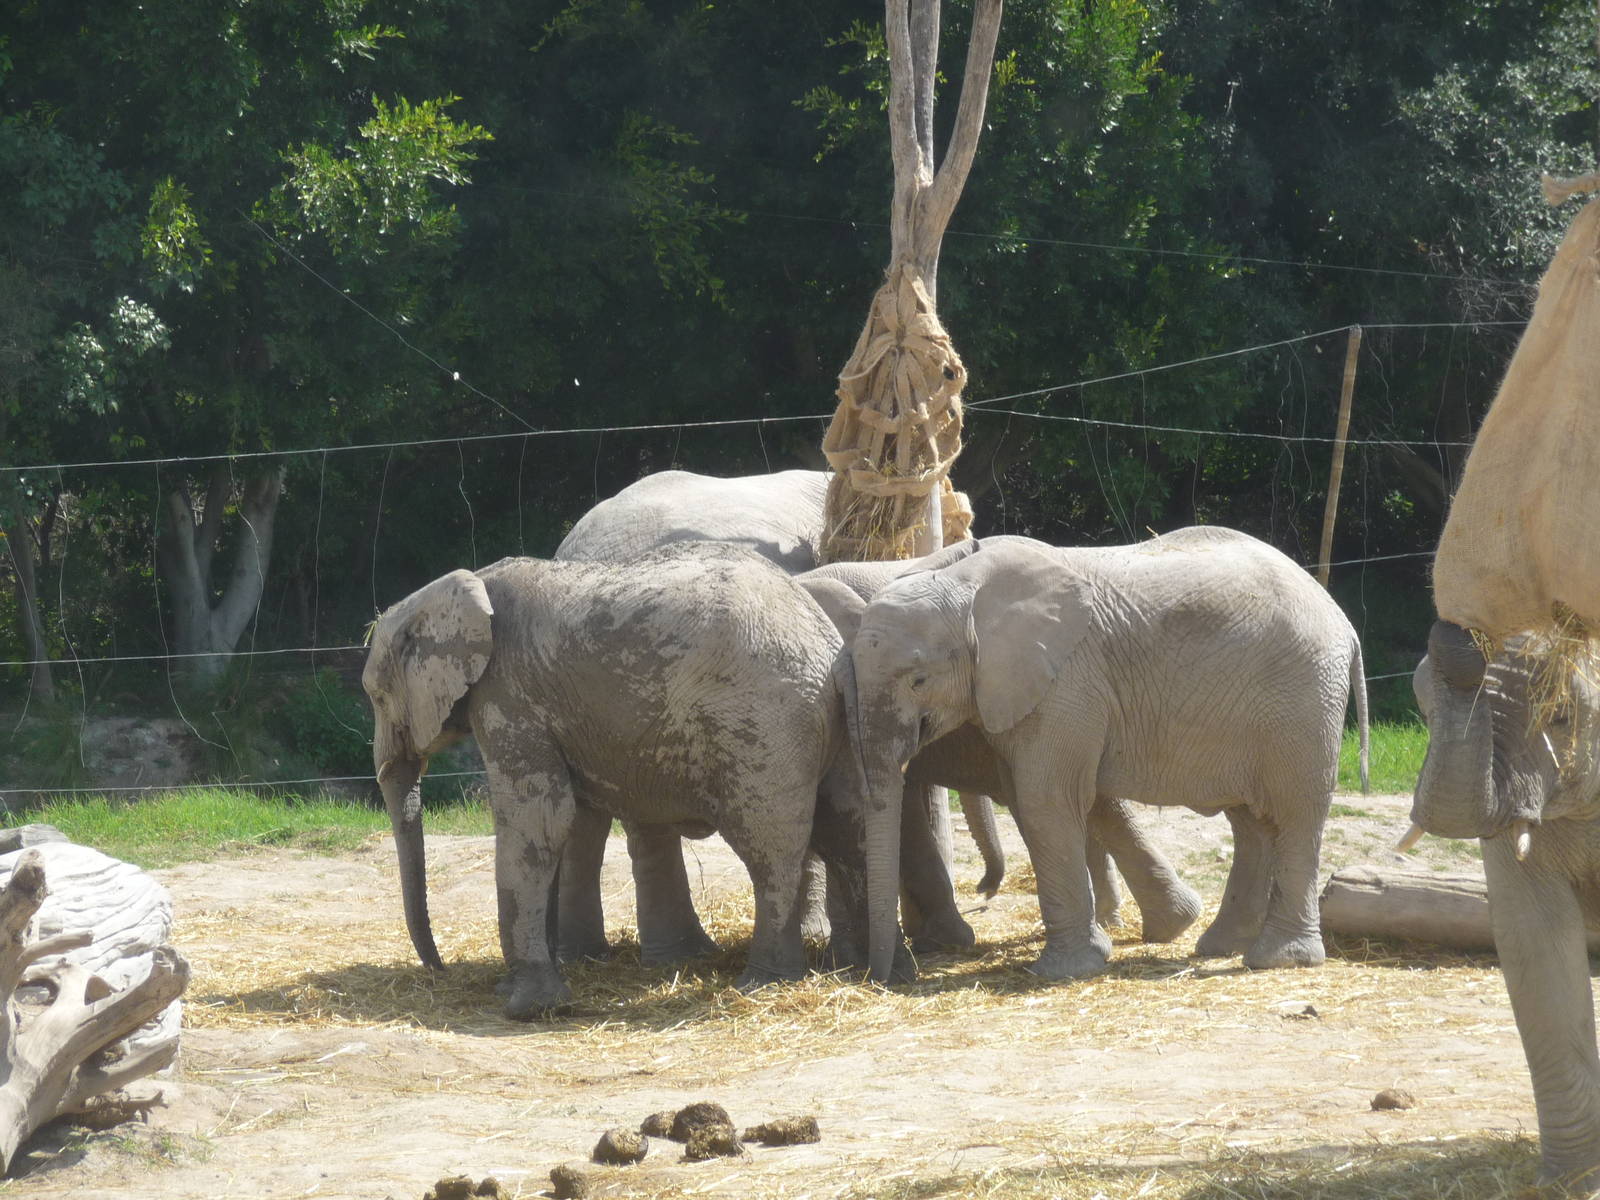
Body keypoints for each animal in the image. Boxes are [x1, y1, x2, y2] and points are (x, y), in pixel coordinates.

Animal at [362, 541, 905, 1018]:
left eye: (376, 696)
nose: (438, 970)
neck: (459, 587)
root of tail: (829, 646)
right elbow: (562, 821)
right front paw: (514, 991)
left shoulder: (509, 695)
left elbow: (538, 819)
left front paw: (529, 1008)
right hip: (829, 721)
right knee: (848, 830)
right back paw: (880, 973)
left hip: (764, 722)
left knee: (771, 848)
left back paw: (762, 983)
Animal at [843, 526, 1369, 981]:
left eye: (919, 680)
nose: (884, 978)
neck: (963, 583)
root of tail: (1342, 620)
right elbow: (1028, 795)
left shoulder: (1067, 680)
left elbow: (1045, 800)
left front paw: (1063, 972)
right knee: (1251, 820)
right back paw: (1221, 947)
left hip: (1304, 698)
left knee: (1295, 812)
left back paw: (1277, 960)